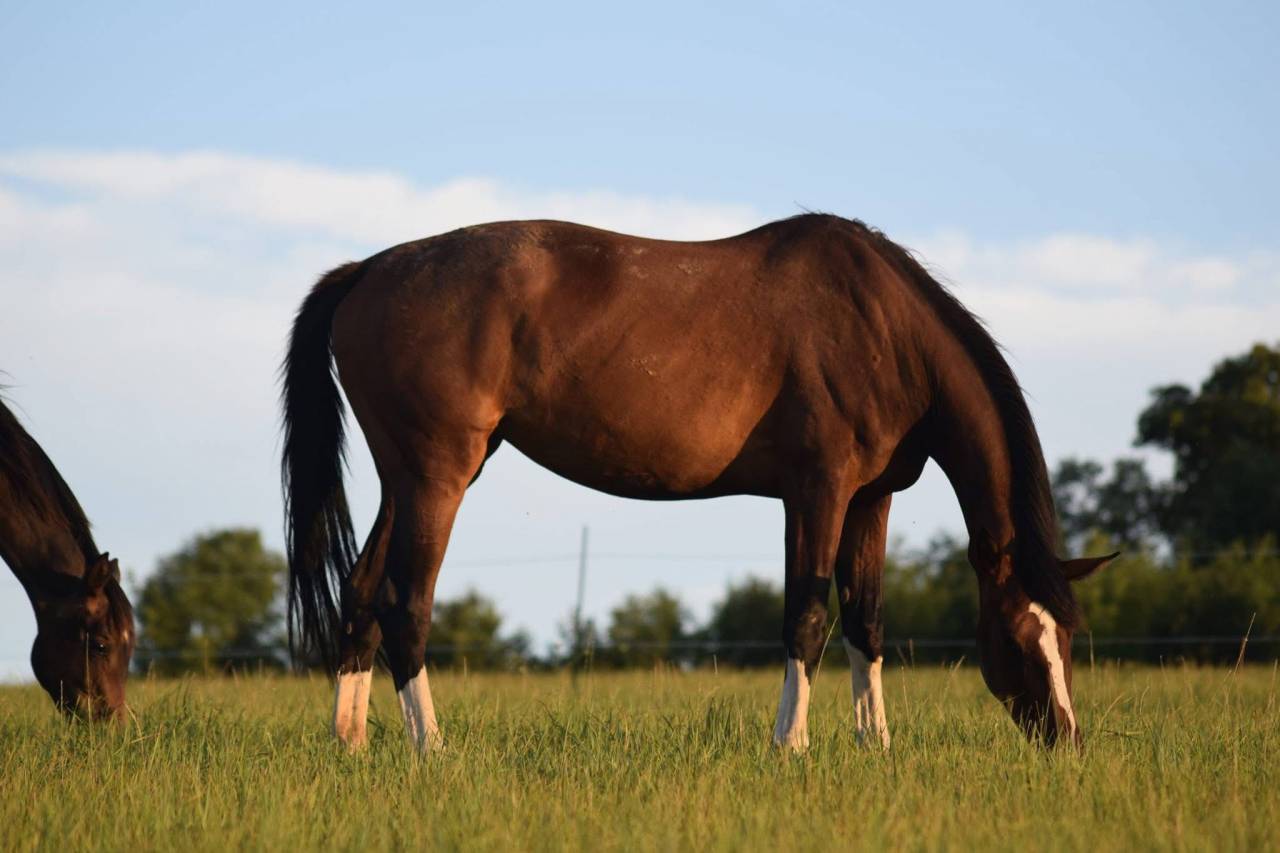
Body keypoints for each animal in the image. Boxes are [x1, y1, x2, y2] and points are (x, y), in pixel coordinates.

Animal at [281, 213, 1115, 753]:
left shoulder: (870, 499)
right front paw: (790, 745)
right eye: (1022, 636)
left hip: (406, 479)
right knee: (406, 604)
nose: (1069, 740)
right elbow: (807, 615)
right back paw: (431, 748)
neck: (879, 325)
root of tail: (367, 271)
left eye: (1070, 634)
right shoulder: (817, 490)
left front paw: (874, 744)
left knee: (361, 591)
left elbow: (867, 620)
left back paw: (351, 742)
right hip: (438, 476)